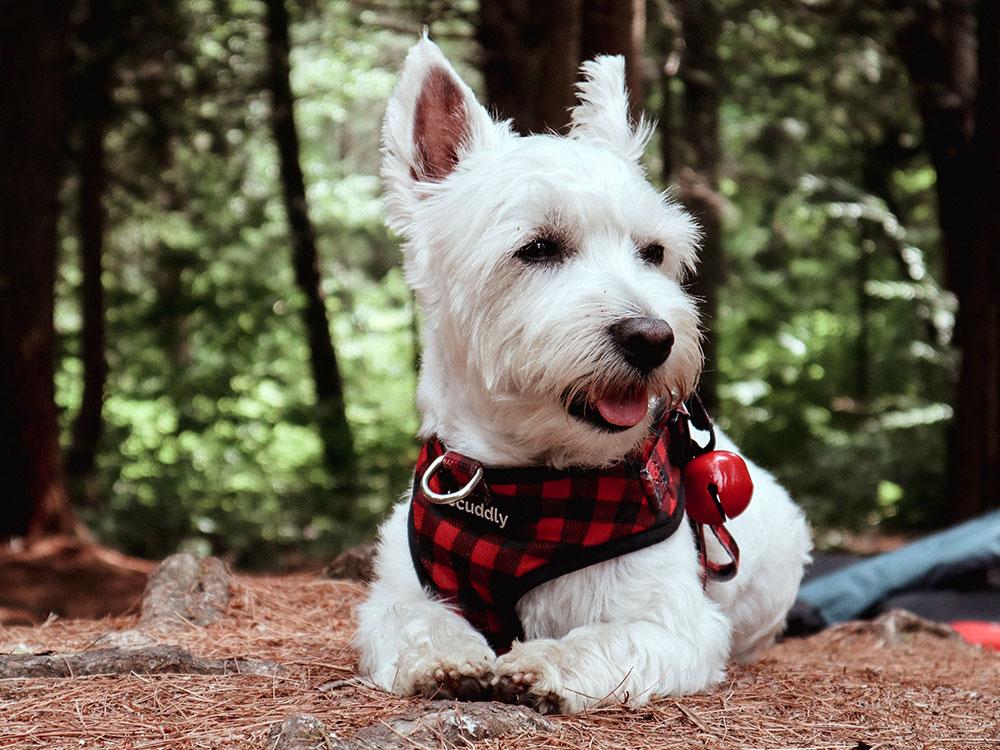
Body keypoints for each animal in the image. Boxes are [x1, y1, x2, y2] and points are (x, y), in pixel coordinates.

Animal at [356, 36, 808, 716]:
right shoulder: (397, 596)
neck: (527, 489)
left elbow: (600, 638)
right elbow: (419, 622)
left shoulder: (673, 621)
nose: (653, 338)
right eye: (538, 247)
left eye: (653, 252)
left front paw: (538, 664)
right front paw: (447, 659)